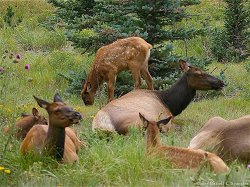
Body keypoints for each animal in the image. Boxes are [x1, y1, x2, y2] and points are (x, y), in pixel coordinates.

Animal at [92, 59, 225, 134]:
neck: (170, 103)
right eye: (199, 73)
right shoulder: (167, 118)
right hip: (139, 120)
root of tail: (103, 125)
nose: (221, 82)